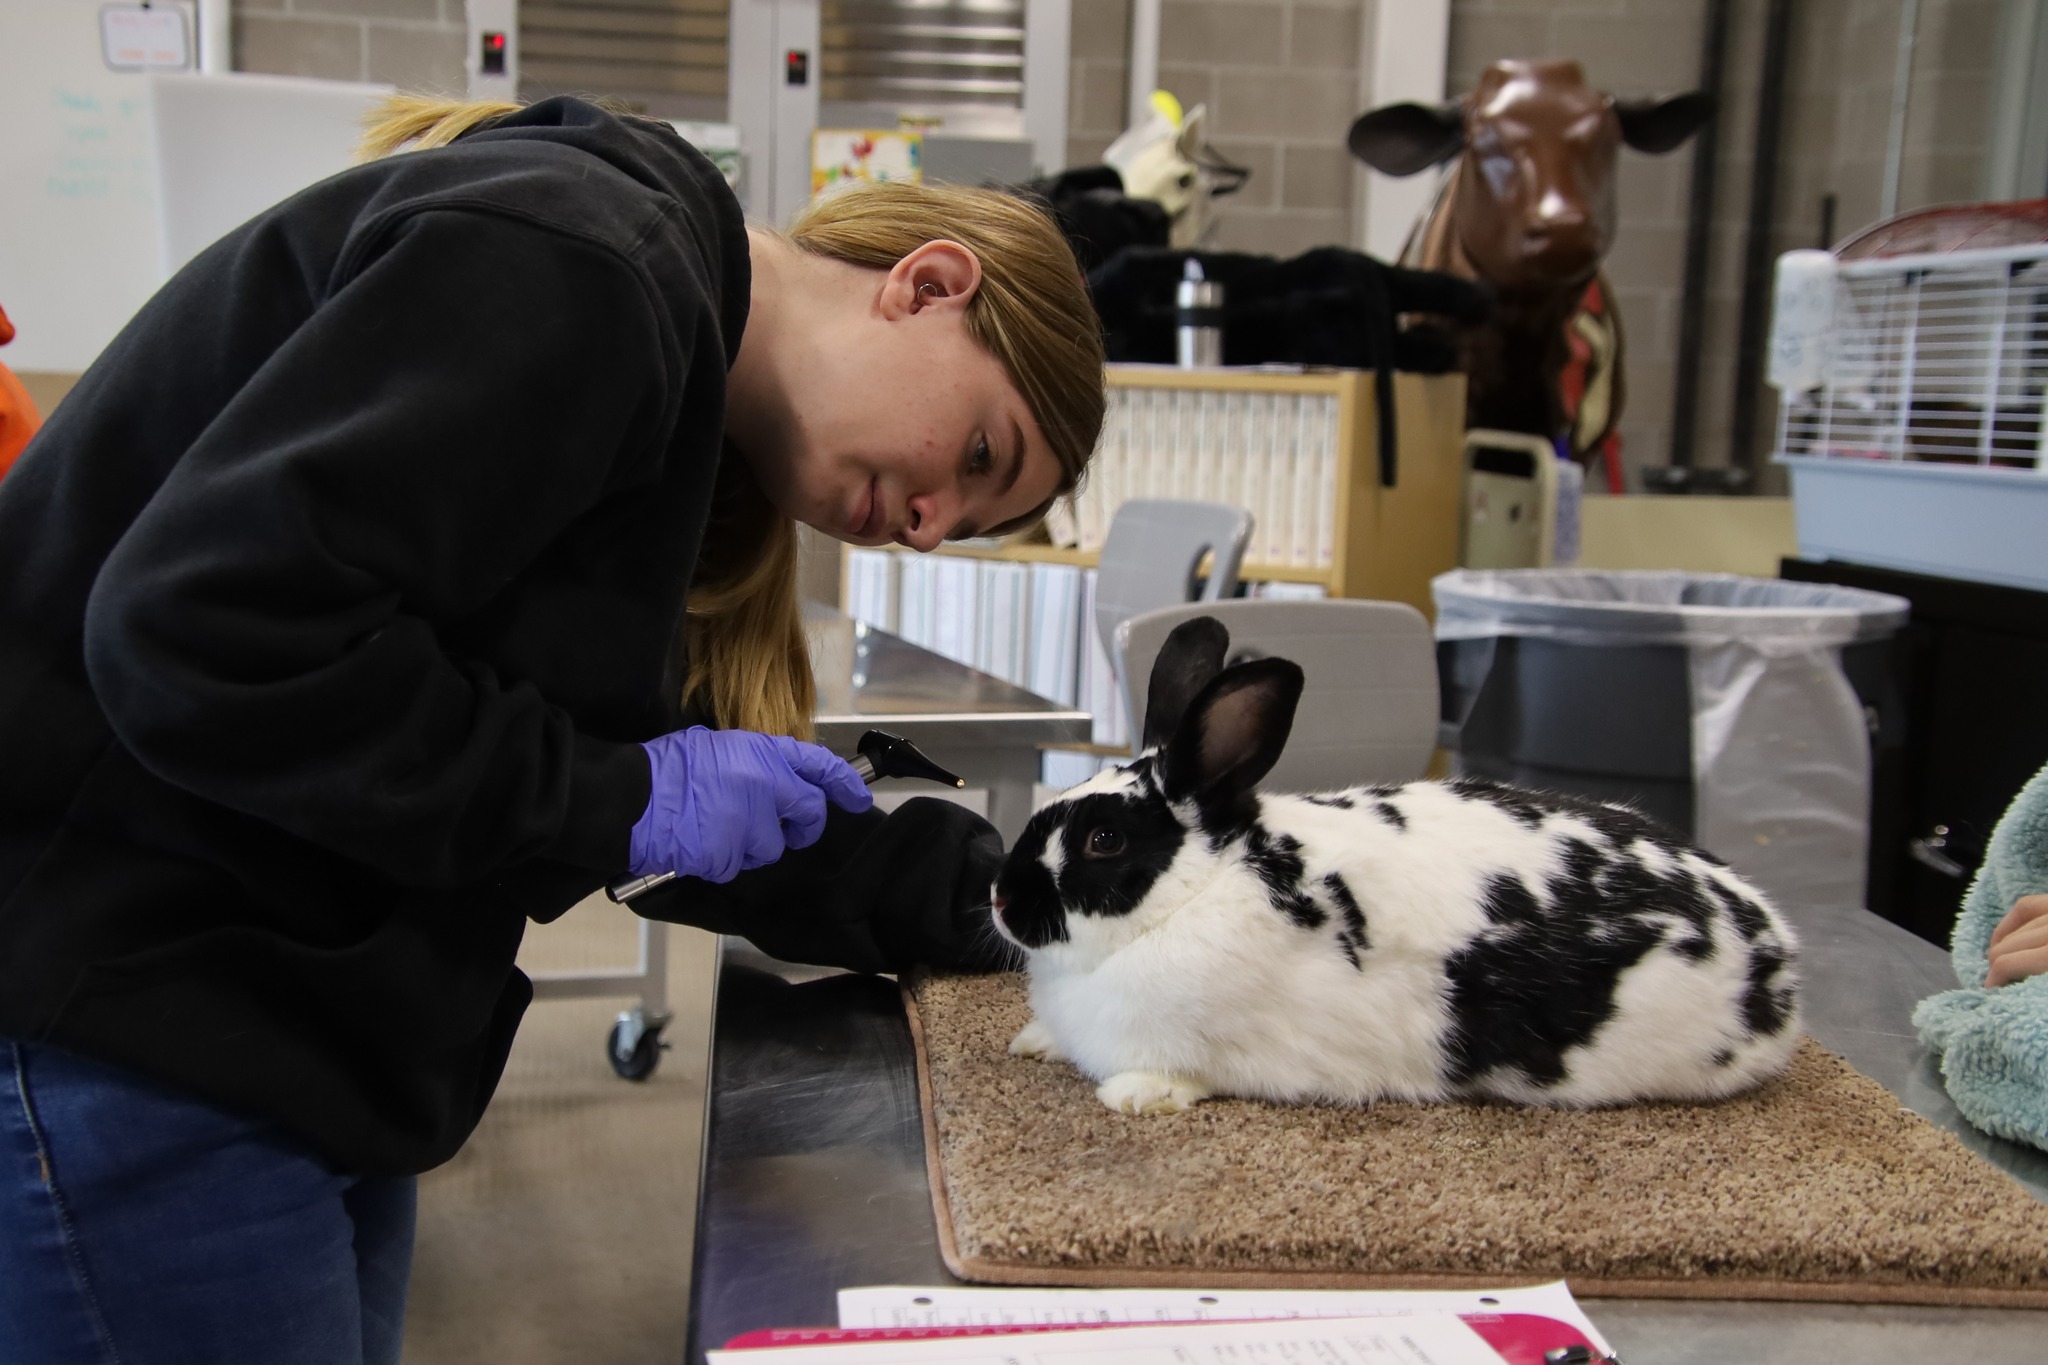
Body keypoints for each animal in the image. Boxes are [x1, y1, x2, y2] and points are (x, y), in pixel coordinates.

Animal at [987, 613, 1794, 1113]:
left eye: (1104, 841)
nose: (999, 897)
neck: (1198, 889)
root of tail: (1779, 949)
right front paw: (1035, 1041)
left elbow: (1179, 1075)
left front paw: (1133, 1095)